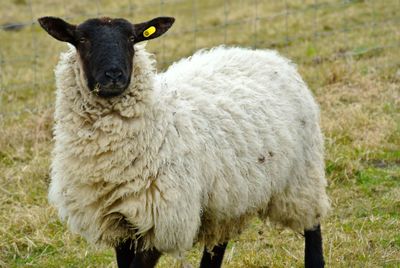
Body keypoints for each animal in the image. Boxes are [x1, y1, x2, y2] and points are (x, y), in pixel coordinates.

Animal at [38, 15, 332, 266]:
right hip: (227, 198)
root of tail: (266, 55)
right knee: (216, 247)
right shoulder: (116, 222)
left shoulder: (163, 220)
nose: (114, 76)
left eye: (132, 38)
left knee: (312, 225)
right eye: (81, 40)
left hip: (302, 174)